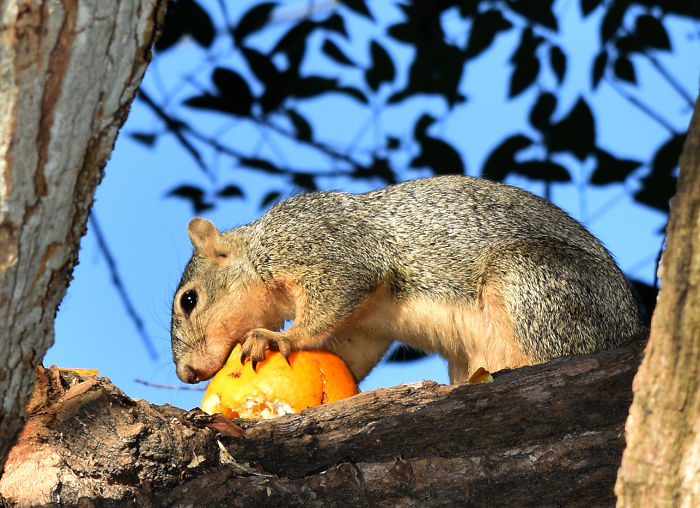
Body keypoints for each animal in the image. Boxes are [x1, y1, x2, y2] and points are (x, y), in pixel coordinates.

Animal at [171, 175, 646, 385]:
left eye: (188, 300)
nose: (187, 374)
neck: (259, 251)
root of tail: (629, 324)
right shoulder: (364, 328)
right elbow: (347, 357)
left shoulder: (325, 244)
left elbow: (338, 289)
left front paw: (276, 338)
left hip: (533, 281)